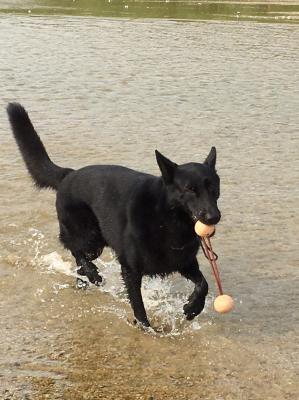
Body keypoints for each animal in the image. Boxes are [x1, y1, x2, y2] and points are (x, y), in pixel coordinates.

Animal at [7, 103, 221, 328]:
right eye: (190, 189)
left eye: (213, 188)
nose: (213, 217)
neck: (168, 220)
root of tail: (69, 174)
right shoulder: (130, 270)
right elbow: (139, 307)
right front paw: (147, 329)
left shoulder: (184, 262)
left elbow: (203, 284)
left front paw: (193, 307)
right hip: (89, 238)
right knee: (76, 251)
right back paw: (92, 274)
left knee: (78, 263)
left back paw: (85, 280)